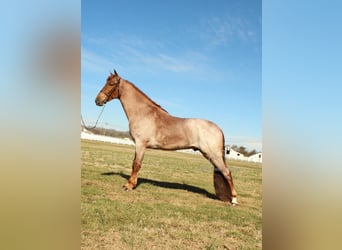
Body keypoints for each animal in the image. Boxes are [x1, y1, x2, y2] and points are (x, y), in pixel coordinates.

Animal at [94, 70, 238, 205]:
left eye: (111, 84)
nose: (97, 100)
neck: (144, 113)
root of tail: (218, 129)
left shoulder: (140, 144)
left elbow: (136, 164)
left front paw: (129, 185)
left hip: (213, 155)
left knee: (227, 172)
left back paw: (234, 200)